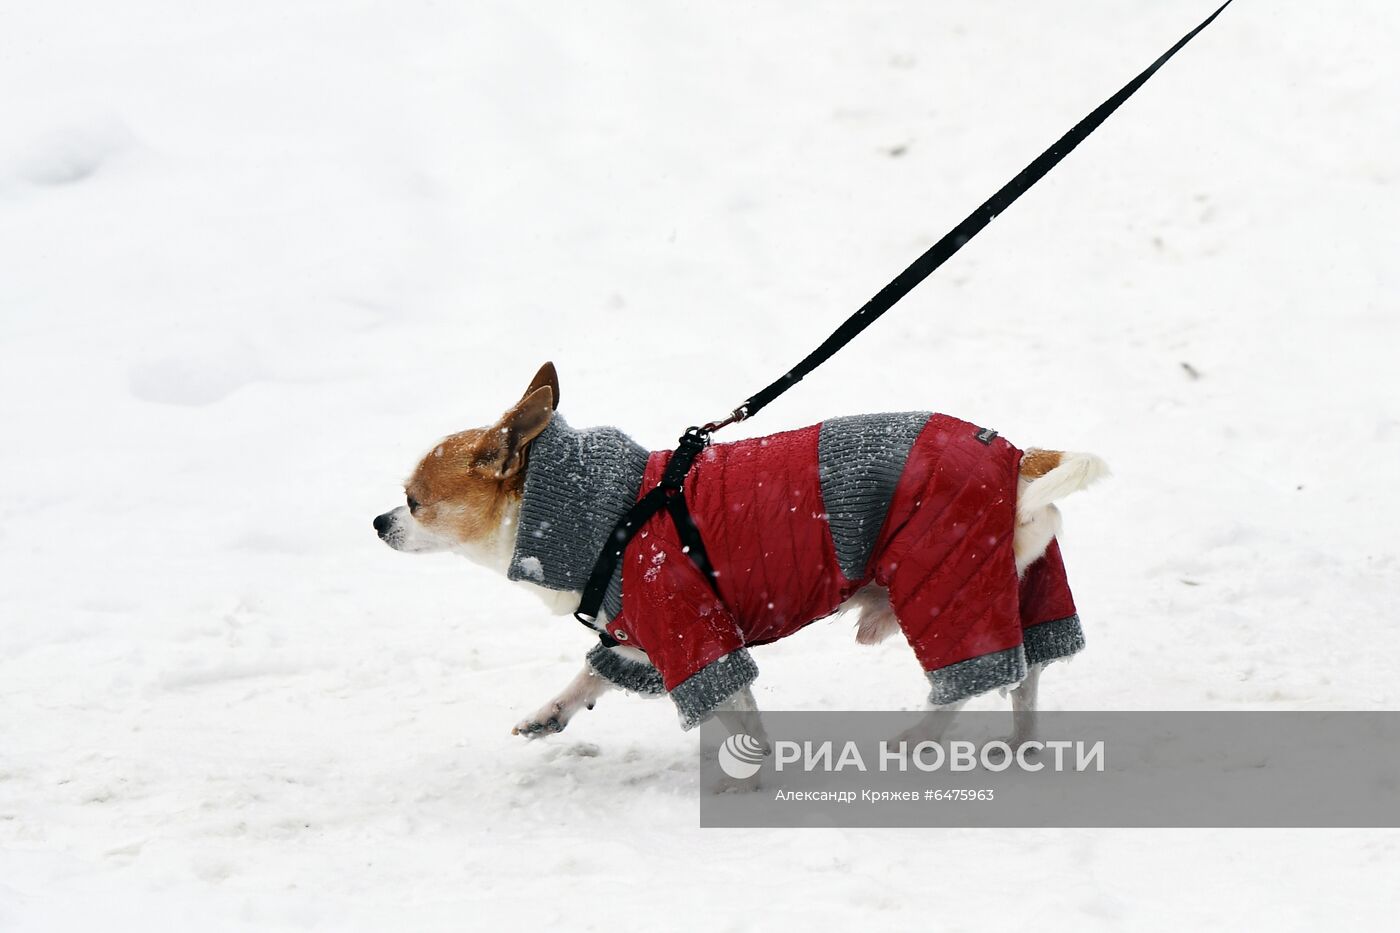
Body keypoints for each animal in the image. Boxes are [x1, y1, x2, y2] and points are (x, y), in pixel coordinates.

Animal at [372, 364, 1103, 750]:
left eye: (414, 500)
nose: (378, 522)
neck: (613, 516)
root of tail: (1014, 457)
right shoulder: (642, 636)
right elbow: (591, 676)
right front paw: (552, 711)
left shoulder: (691, 629)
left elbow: (734, 706)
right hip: (1016, 586)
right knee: (1024, 674)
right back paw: (1022, 744)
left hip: (944, 579)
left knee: (968, 679)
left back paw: (913, 735)